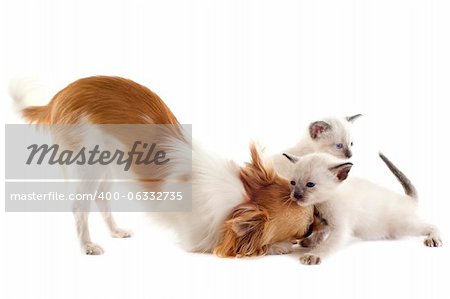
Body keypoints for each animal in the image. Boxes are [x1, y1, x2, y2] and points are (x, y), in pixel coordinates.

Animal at [284, 152, 442, 264]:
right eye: (293, 183)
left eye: (310, 184)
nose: (296, 195)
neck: (323, 202)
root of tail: (408, 199)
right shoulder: (325, 220)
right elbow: (321, 232)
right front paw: (311, 241)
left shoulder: (340, 228)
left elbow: (328, 245)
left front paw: (313, 254)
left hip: (403, 227)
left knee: (431, 225)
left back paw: (434, 239)